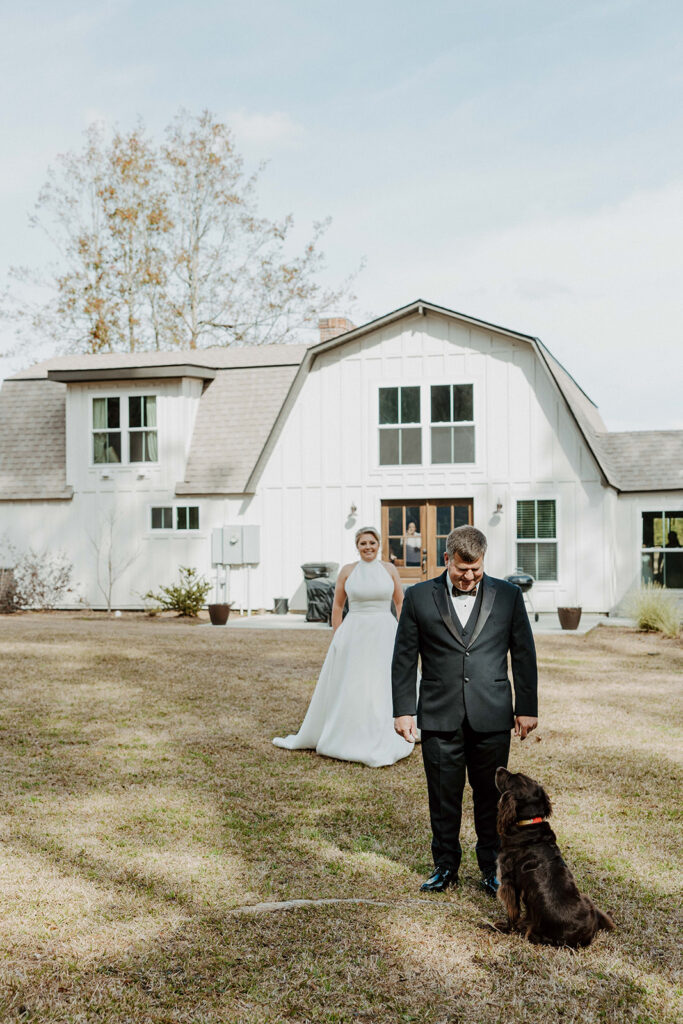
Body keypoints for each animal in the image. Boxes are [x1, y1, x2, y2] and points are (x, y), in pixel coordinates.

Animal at [493, 765, 618, 946]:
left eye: (511, 777)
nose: (499, 768)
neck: (529, 823)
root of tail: (586, 935)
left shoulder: (508, 881)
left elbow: (512, 911)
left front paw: (504, 927)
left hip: (535, 933)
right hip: (587, 900)